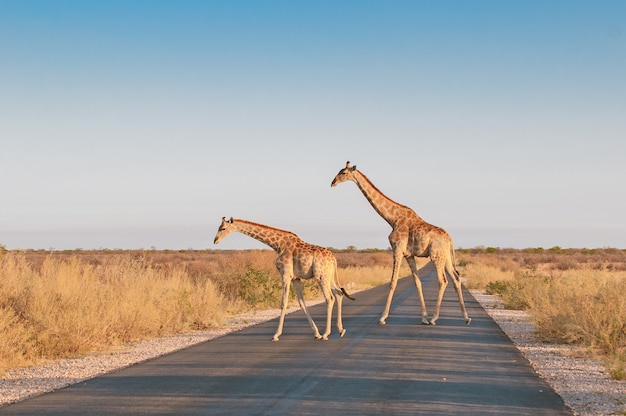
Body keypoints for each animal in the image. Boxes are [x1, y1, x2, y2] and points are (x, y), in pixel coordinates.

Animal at [213, 218, 352, 342]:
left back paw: (326, 334)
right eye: (219, 227)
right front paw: (316, 333)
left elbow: (283, 303)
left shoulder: (285, 274)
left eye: (223, 228)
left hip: (321, 276)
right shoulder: (296, 278)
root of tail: (334, 259)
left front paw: (276, 335)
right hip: (329, 276)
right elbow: (301, 303)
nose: (215, 240)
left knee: (330, 298)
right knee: (338, 293)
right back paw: (341, 330)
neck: (277, 245)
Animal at [332, 161, 468, 326]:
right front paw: (424, 317)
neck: (392, 218)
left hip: (436, 256)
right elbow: (417, 282)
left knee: (443, 281)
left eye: (343, 173)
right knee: (456, 278)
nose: (332, 183)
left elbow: (393, 282)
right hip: (445, 256)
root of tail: (450, 240)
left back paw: (435, 318)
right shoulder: (409, 255)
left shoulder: (397, 248)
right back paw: (466, 318)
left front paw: (383, 317)